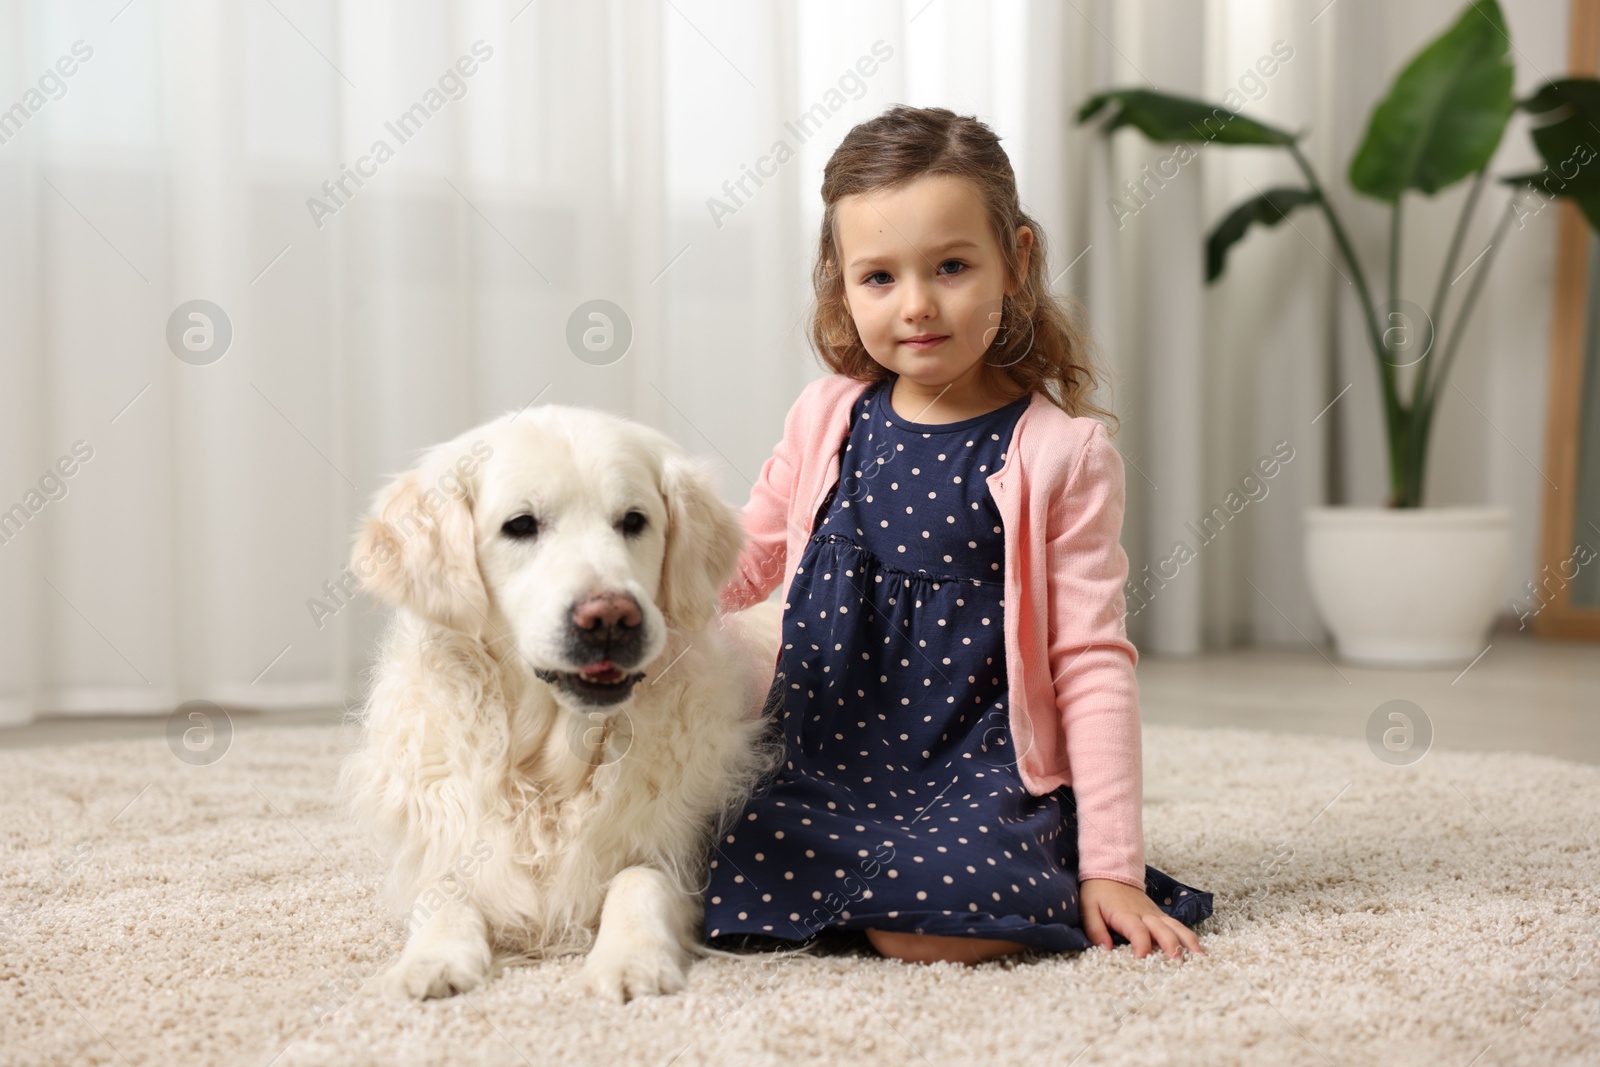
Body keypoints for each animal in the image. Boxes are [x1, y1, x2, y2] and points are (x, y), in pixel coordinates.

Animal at [339, 406, 780, 1004]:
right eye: (521, 525)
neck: (552, 764)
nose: (611, 617)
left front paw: (630, 959)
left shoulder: (679, 849)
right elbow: (444, 894)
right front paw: (429, 961)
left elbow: (637, 879)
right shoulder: (446, 840)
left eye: (634, 520)